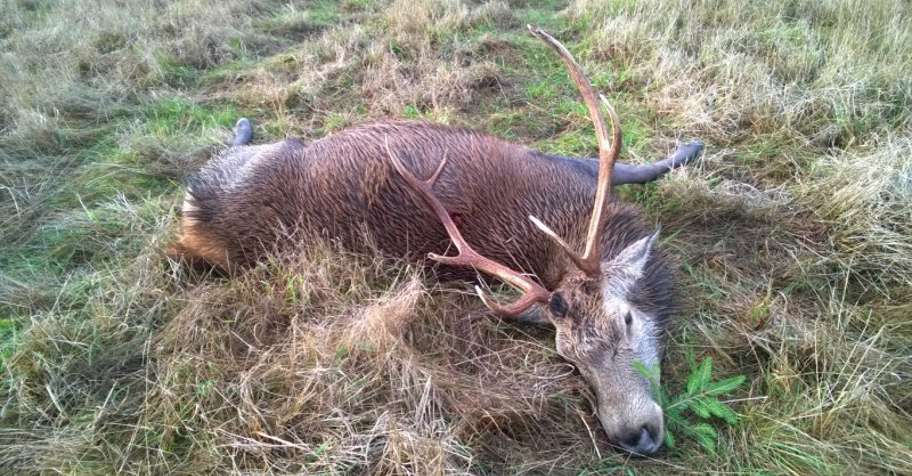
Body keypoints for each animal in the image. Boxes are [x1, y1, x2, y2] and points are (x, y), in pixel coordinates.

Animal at [170, 27, 704, 455]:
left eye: (626, 321)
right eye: (568, 358)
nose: (634, 435)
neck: (573, 220)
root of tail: (196, 221)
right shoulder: (566, 164)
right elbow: (627, 165)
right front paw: (690, 145)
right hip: (265, 155)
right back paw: (241, 124)